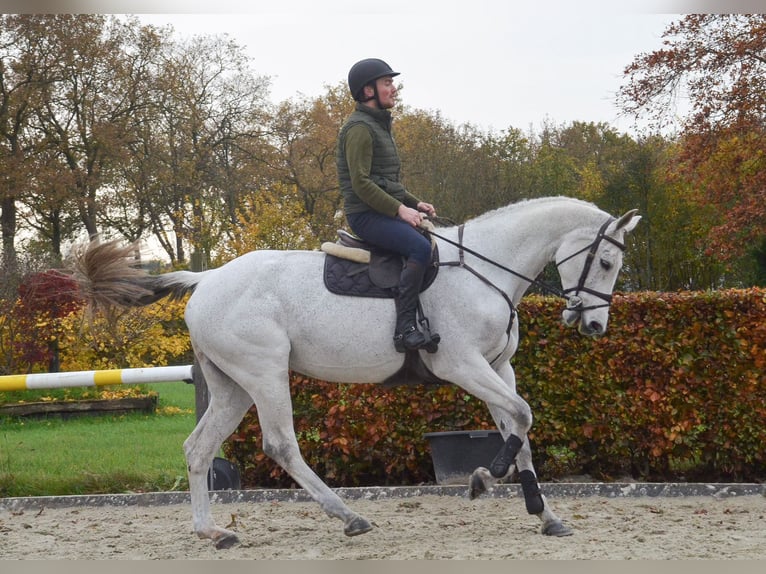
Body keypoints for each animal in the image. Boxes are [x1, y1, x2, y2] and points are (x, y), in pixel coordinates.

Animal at [73, 197, 640, 548]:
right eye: (606, 262)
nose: (593, 325)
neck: (486, 270)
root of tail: (208, 279)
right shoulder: (463, 364)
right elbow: (521, 418)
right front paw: (484, 479)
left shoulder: (501, 367)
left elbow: (518, 426)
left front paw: (544, 514)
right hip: (264, 374)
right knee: (281, 445)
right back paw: (349, 516)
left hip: (233, 386)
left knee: (198, 449)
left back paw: (213, 533)